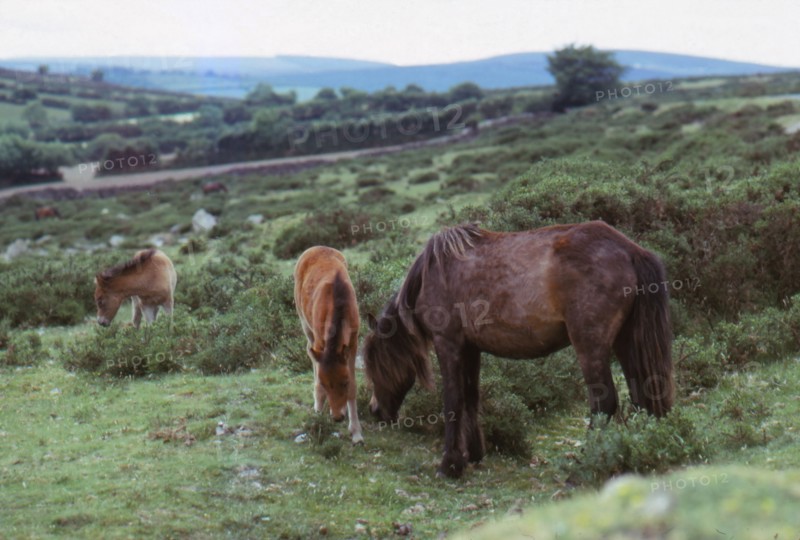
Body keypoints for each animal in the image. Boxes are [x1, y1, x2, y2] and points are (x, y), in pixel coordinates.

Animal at [294, 246, 364, 444]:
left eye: (344, 382)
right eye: (326, 384)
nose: (337, 417)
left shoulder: (354, 340)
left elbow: (354, 386)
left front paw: (356, 433)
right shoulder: (319, 338)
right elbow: (317, 371)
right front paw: (318, 411)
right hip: (304, 321)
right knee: (309, 352)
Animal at [363, 221, 674, 478]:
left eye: (372, 364)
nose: (375, 411)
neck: (434, 272)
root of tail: (630, 250)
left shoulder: (448, 342)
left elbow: (452, 401)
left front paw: (450, 464)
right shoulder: (471, 348)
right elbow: (471, 398)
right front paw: (473, 454)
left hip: (591, 346)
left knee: (604, 404)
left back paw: (582, 466)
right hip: (626, 342)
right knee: (642, 396)